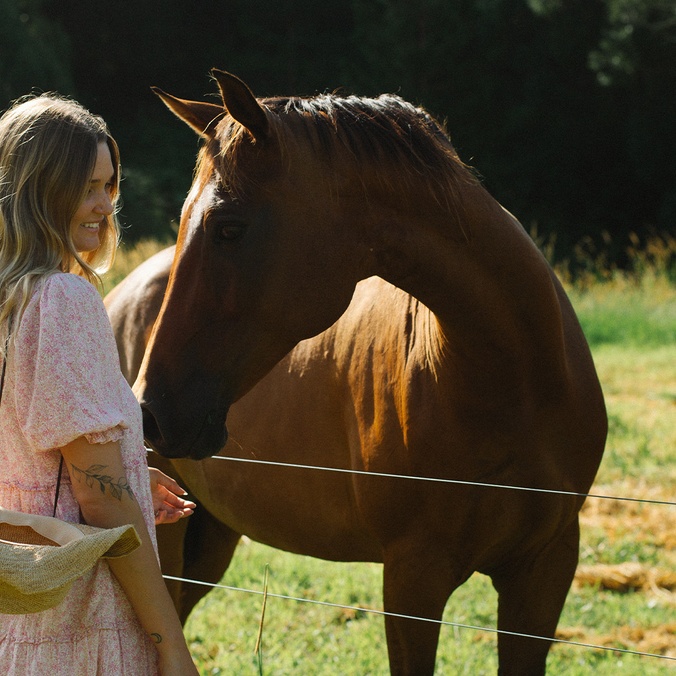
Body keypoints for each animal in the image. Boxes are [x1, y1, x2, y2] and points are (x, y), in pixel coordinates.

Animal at [112, 69, 607, 674]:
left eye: (229, 228)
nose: (150, 413)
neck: (513, 385)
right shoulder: (413, 578)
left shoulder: (545, 570)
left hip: (211, 535)